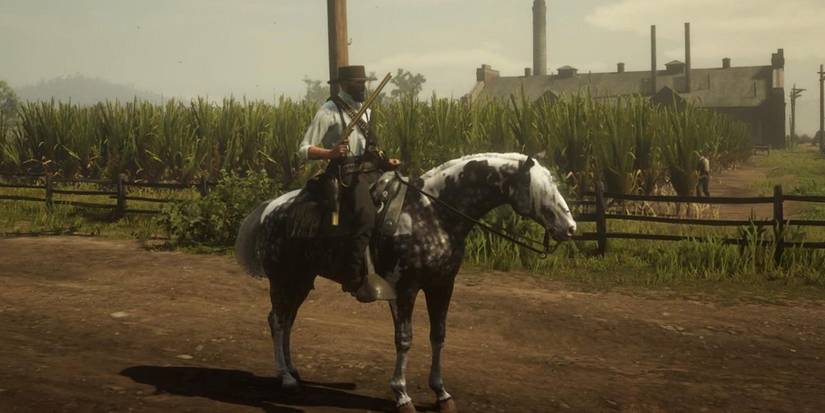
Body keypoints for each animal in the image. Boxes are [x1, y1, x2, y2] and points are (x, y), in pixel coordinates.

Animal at [235, 152, 577, 413]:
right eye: (542, 188)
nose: (570, 227)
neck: (431, 214)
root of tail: (270, 208)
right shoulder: (405, 290)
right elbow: (405, 339)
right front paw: (401, 394)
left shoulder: (442, 285)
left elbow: (438, 335)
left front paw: (441, 393)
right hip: (282, 279)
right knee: (278, 321)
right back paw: (286, 378)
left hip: (302, 280)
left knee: (287, 320)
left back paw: (292, 370)